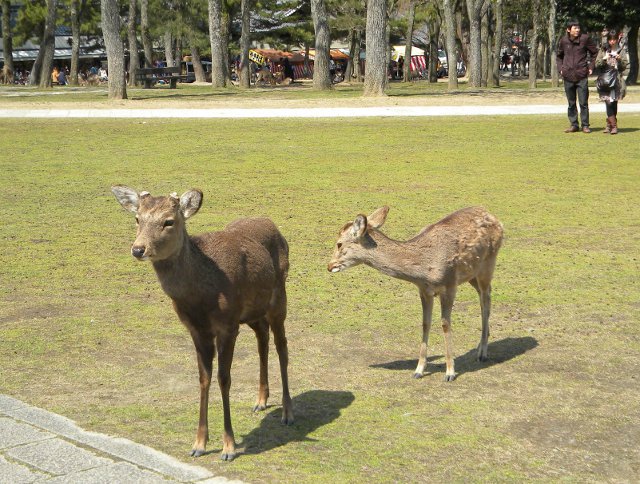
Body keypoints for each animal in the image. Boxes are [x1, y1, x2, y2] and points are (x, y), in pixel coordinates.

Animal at [112, 186, 296, 462]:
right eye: (137, 218)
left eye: (169, 221)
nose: (138, 249)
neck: (199, 298)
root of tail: (274, 225)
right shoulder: (196, 330)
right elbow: (203, 378)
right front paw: (198, 443)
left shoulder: (228, 325)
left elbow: (224, 378)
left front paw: (229, 447)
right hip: (253, 312)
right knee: (262, 338)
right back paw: (261, 399)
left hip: (279, 298)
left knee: (282, 347)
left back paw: (287, 412)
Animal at [328, 204, 502, 382]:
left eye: (339, 244)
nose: (329, 265)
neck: (424, 270)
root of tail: (494, 217)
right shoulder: (424, 290)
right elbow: (425, 323)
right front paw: (418, 370)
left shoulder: (450, 285)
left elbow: (445, 324)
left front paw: (450, 372)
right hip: (472, 274)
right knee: (484, 296)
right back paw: (480, 346)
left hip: (488, 264)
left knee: (486, 300)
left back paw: (482, 353)